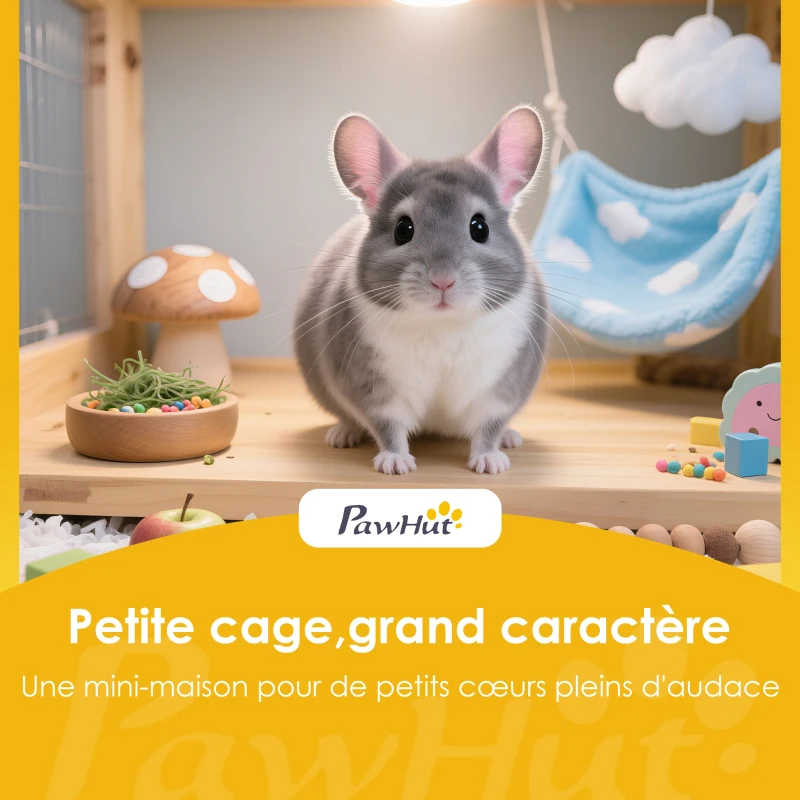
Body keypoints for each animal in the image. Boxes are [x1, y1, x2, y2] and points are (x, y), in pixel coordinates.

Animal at [293, 106, 548, 475]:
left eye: (480, 227)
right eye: (403, 229)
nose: (443, 280)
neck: (442, 325)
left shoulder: (500, 391)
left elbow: (488, 426)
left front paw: (490, 464)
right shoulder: (374, 390)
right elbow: (388, 427)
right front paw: (396, 465)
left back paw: (510, 439)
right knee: (350, 420)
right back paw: (342, 435)